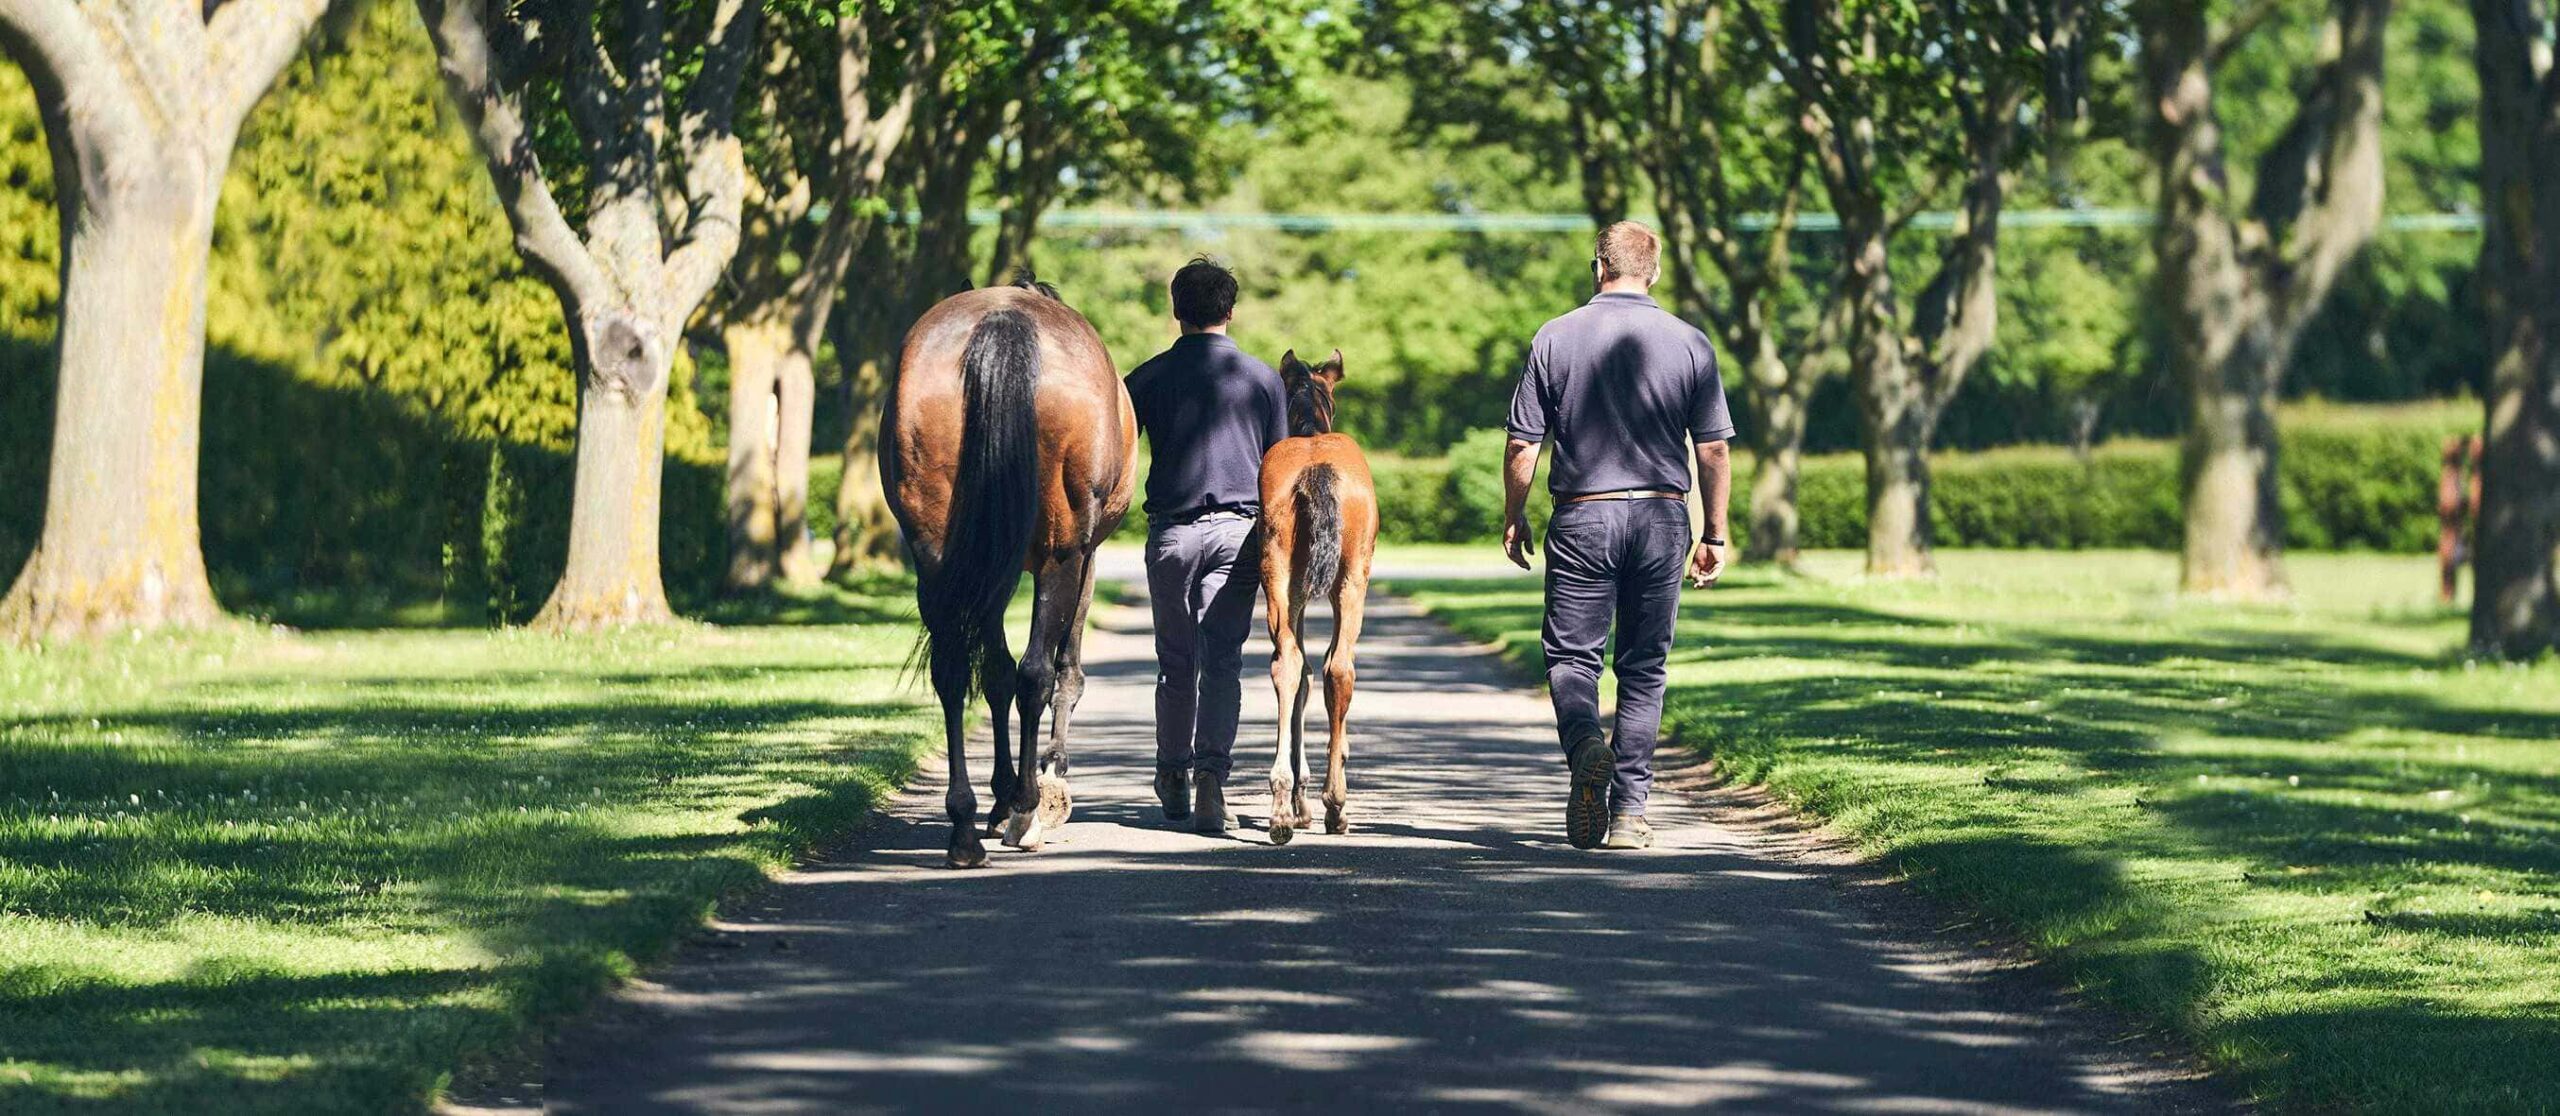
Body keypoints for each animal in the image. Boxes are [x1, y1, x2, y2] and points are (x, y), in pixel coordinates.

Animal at [885, 275, 1136, 865]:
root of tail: (1005, 318)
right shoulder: (1084, 559)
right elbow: (1064, 671)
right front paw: (1047, 780)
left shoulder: (985, 565)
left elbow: (993, 673)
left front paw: (997, 798)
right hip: (1063, 556)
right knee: (1036, 673)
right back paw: (1025, 811)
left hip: (935, 556)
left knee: (954, 671)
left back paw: (963, 827)